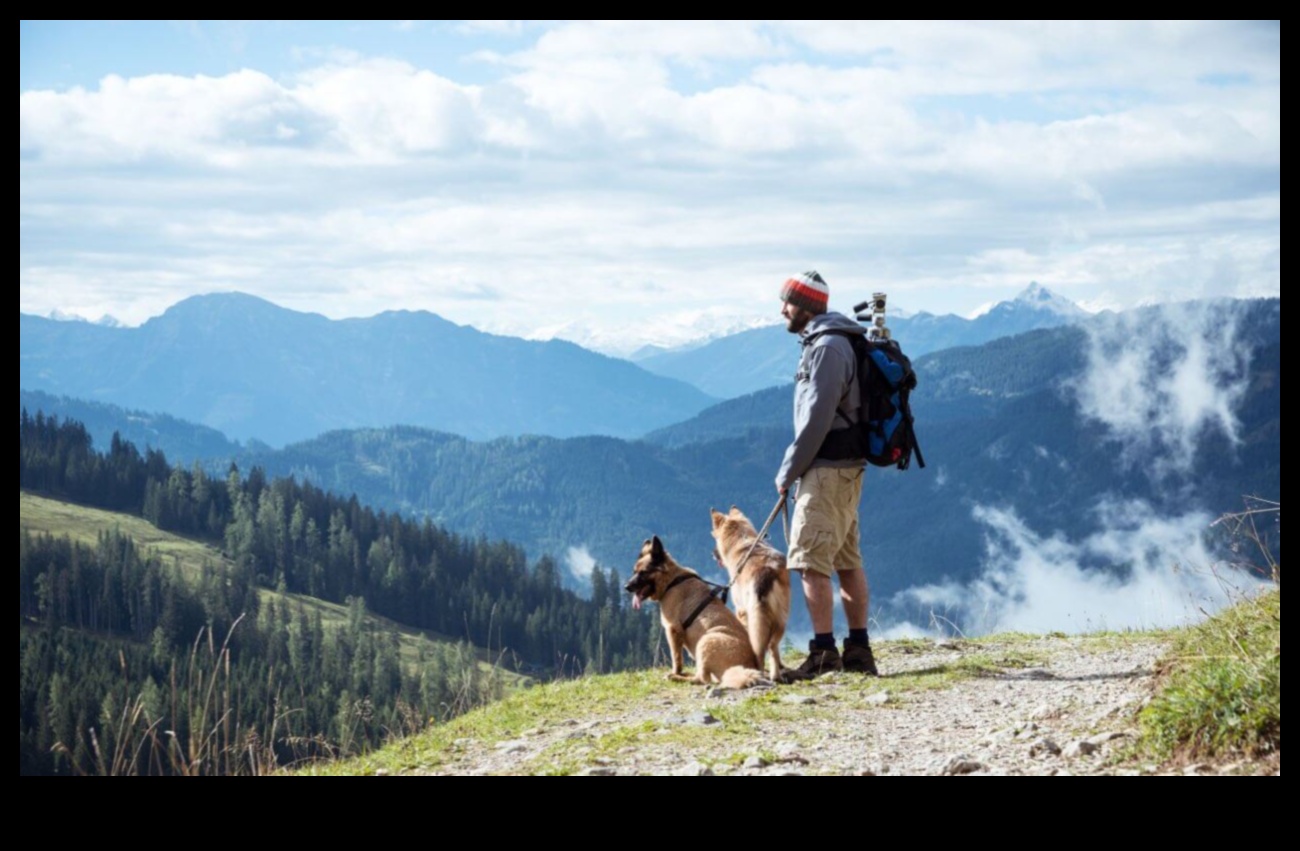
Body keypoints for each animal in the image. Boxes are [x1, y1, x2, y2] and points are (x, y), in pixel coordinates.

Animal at [624, 535, 764, 691]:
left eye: (643, 572)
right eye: (634, 572)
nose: (626, 587)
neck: (672, 580)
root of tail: (748, 666)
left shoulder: (673, 630)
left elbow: (676, 659)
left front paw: (675, 673)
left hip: (706, 640)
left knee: (702, 679)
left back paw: (677, 678)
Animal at [712, 509, 790, 680]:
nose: (713, 554)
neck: (743, 540)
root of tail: (766, 571)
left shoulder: (741, 610)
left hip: (755, 614)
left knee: (759, 647)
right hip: (781, 616)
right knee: (773, 645)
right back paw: (776, 675)